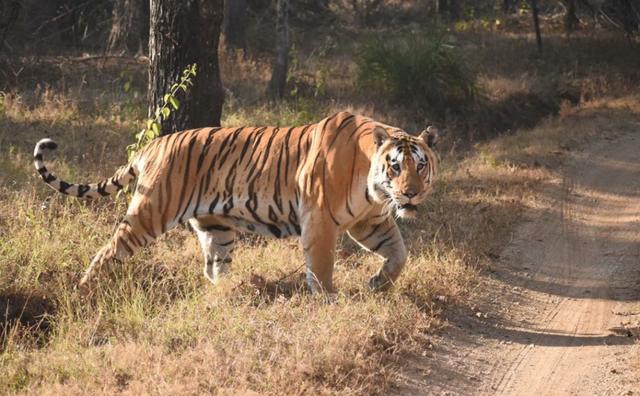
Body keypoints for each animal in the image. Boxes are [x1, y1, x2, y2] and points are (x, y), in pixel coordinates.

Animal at [32, 110, 438, 292]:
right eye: (395, 166)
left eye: (420, 165)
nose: (410, 192)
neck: (374, 188)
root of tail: (154, 144)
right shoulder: (322, 221)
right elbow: (322, 268)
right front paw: (329, 301)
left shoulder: (369, 220)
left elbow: (399, 253)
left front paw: (379, 283)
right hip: (150, 213)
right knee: (107, 252)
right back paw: (84, 292)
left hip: (217, 228)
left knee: (213, 268)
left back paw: (228, 295)